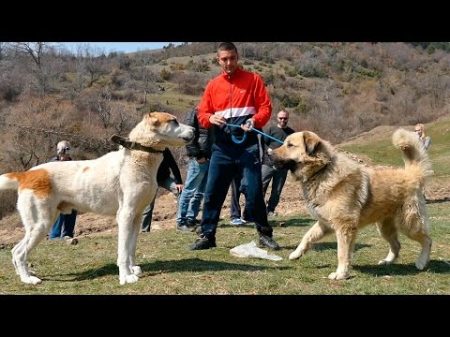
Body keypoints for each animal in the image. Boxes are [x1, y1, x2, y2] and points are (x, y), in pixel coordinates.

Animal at [0, 112, 193, 284]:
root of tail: (26, 174)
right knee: (19, 252)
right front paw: (126, 276)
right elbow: (123, 252)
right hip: (41, 224)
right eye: (174, 121)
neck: (139, 156)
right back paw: (28, 279)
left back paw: (24, 274)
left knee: (15, 251)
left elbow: (131, 248)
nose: (194, 130)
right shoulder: (125, 215)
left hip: (39, 224)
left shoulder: (137, 217)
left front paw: (133, 269)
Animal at [270, 128, 432, 278]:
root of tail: (411, 174)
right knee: (397, 245)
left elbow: (342, 252)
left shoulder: (344, 226)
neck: (322, 170)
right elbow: (307, 236)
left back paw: (421, 262)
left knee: (427, 240)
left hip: (409, 224)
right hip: (384, 227)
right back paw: (387, 261)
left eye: (290, 145)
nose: (269, 153)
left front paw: (341, 274)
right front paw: (296, 253)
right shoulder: (325, 224)